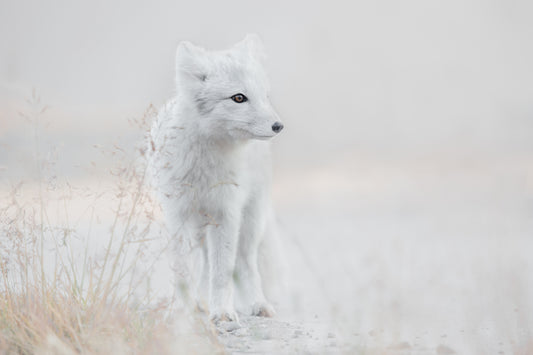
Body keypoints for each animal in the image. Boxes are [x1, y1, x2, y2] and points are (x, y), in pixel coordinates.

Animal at [148, 34, 282, 326]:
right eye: (239, 97)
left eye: (266, 95)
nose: (278, 126)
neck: (204, 167)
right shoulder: (178, 216)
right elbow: (183, 271)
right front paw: (182, 311)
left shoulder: (226, 214)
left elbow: (222, 273)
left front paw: (221, 312)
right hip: (201, 228)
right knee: (204, 265)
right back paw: (200, 303)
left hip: (249, 223)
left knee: (244, 264)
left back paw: (258, 304)